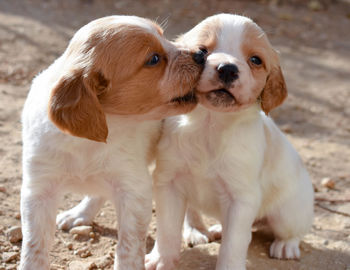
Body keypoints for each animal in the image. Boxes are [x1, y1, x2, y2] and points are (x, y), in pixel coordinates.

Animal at [19, 15, 205, 270]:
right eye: (153, 59)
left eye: (164, 36)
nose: (202, 54)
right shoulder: (39, 189)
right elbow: (34, 246)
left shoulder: (134, 190)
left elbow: (128, 246)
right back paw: (80, 214)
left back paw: (195, 230)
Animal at [145, 14, 314, 270]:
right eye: (201, 52)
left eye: (255, 60)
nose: (227, 69)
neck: (210, 126)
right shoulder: (168, 183)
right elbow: (167, 230)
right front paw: (160, 259)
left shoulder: (241, 199)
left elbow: (234, 244)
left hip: (287, 214)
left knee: (293, 231)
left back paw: (286, 246)